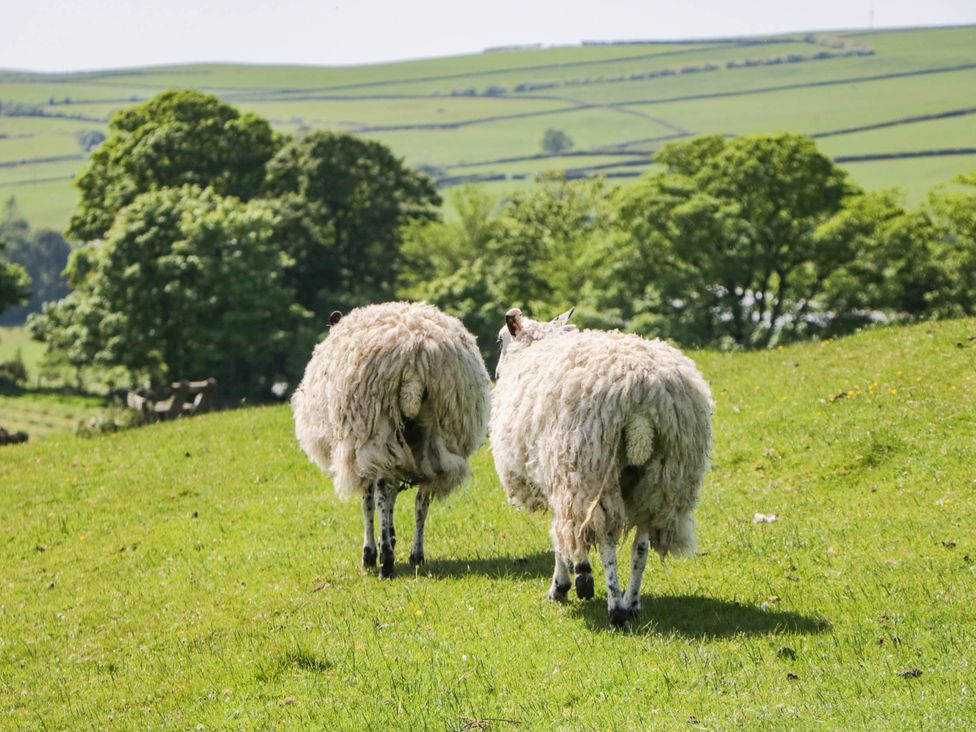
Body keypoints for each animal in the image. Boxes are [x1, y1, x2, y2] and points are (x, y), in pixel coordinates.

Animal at [292, 301, 490, 578]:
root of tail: (415, 365)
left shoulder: (360, 452)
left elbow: (369, 500)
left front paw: (370, 553)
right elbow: (396, 494)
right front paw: (392, 538)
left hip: (375, 431)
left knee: (382, 490)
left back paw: (385, 559)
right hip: (439, 435)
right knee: (423, 497)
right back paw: (416, 554)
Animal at [491, 307, 712, 626]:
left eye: (500, 339)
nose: (495, 374)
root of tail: (644, 401)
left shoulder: (560, 474)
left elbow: (560, 534)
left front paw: (567, 582)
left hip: (592, 468)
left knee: (607, 538)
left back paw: (616, 608)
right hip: (663, 480)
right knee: (641, 546)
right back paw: (632, 603)